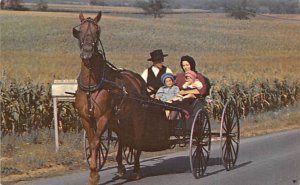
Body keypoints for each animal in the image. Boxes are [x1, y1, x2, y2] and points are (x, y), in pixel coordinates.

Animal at [72, 11, 171, 185]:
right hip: (121, 120)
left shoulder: (104, 117)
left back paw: (136, 170)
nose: (87, 51)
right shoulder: (86, 118)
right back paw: (120, 167)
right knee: (123, 138)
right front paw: (94, 172)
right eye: (80, 31)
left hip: (137, 118)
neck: (93, 84)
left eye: (97, 31)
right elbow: (92, 142)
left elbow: (96, 142)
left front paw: (94, 175)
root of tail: (138, 80)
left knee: (137, 140)